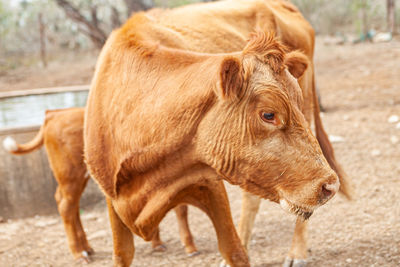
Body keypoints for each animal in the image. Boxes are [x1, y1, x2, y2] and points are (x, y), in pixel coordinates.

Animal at [1, 108, 198, 262]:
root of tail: (54, 114)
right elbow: (179, 208)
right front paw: (189, 247)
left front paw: (158, 243)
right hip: (70, 175)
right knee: (66, 206)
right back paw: (78, 254)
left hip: (79, 178)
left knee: (71, 205)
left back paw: (87, 248)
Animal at [85, 12, 340, 267]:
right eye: (268, 114)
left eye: (296, 100)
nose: (330, 185)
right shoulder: (112, 197)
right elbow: (122, 254)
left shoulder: (211, 185)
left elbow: (234, 251)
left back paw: (296, 253)